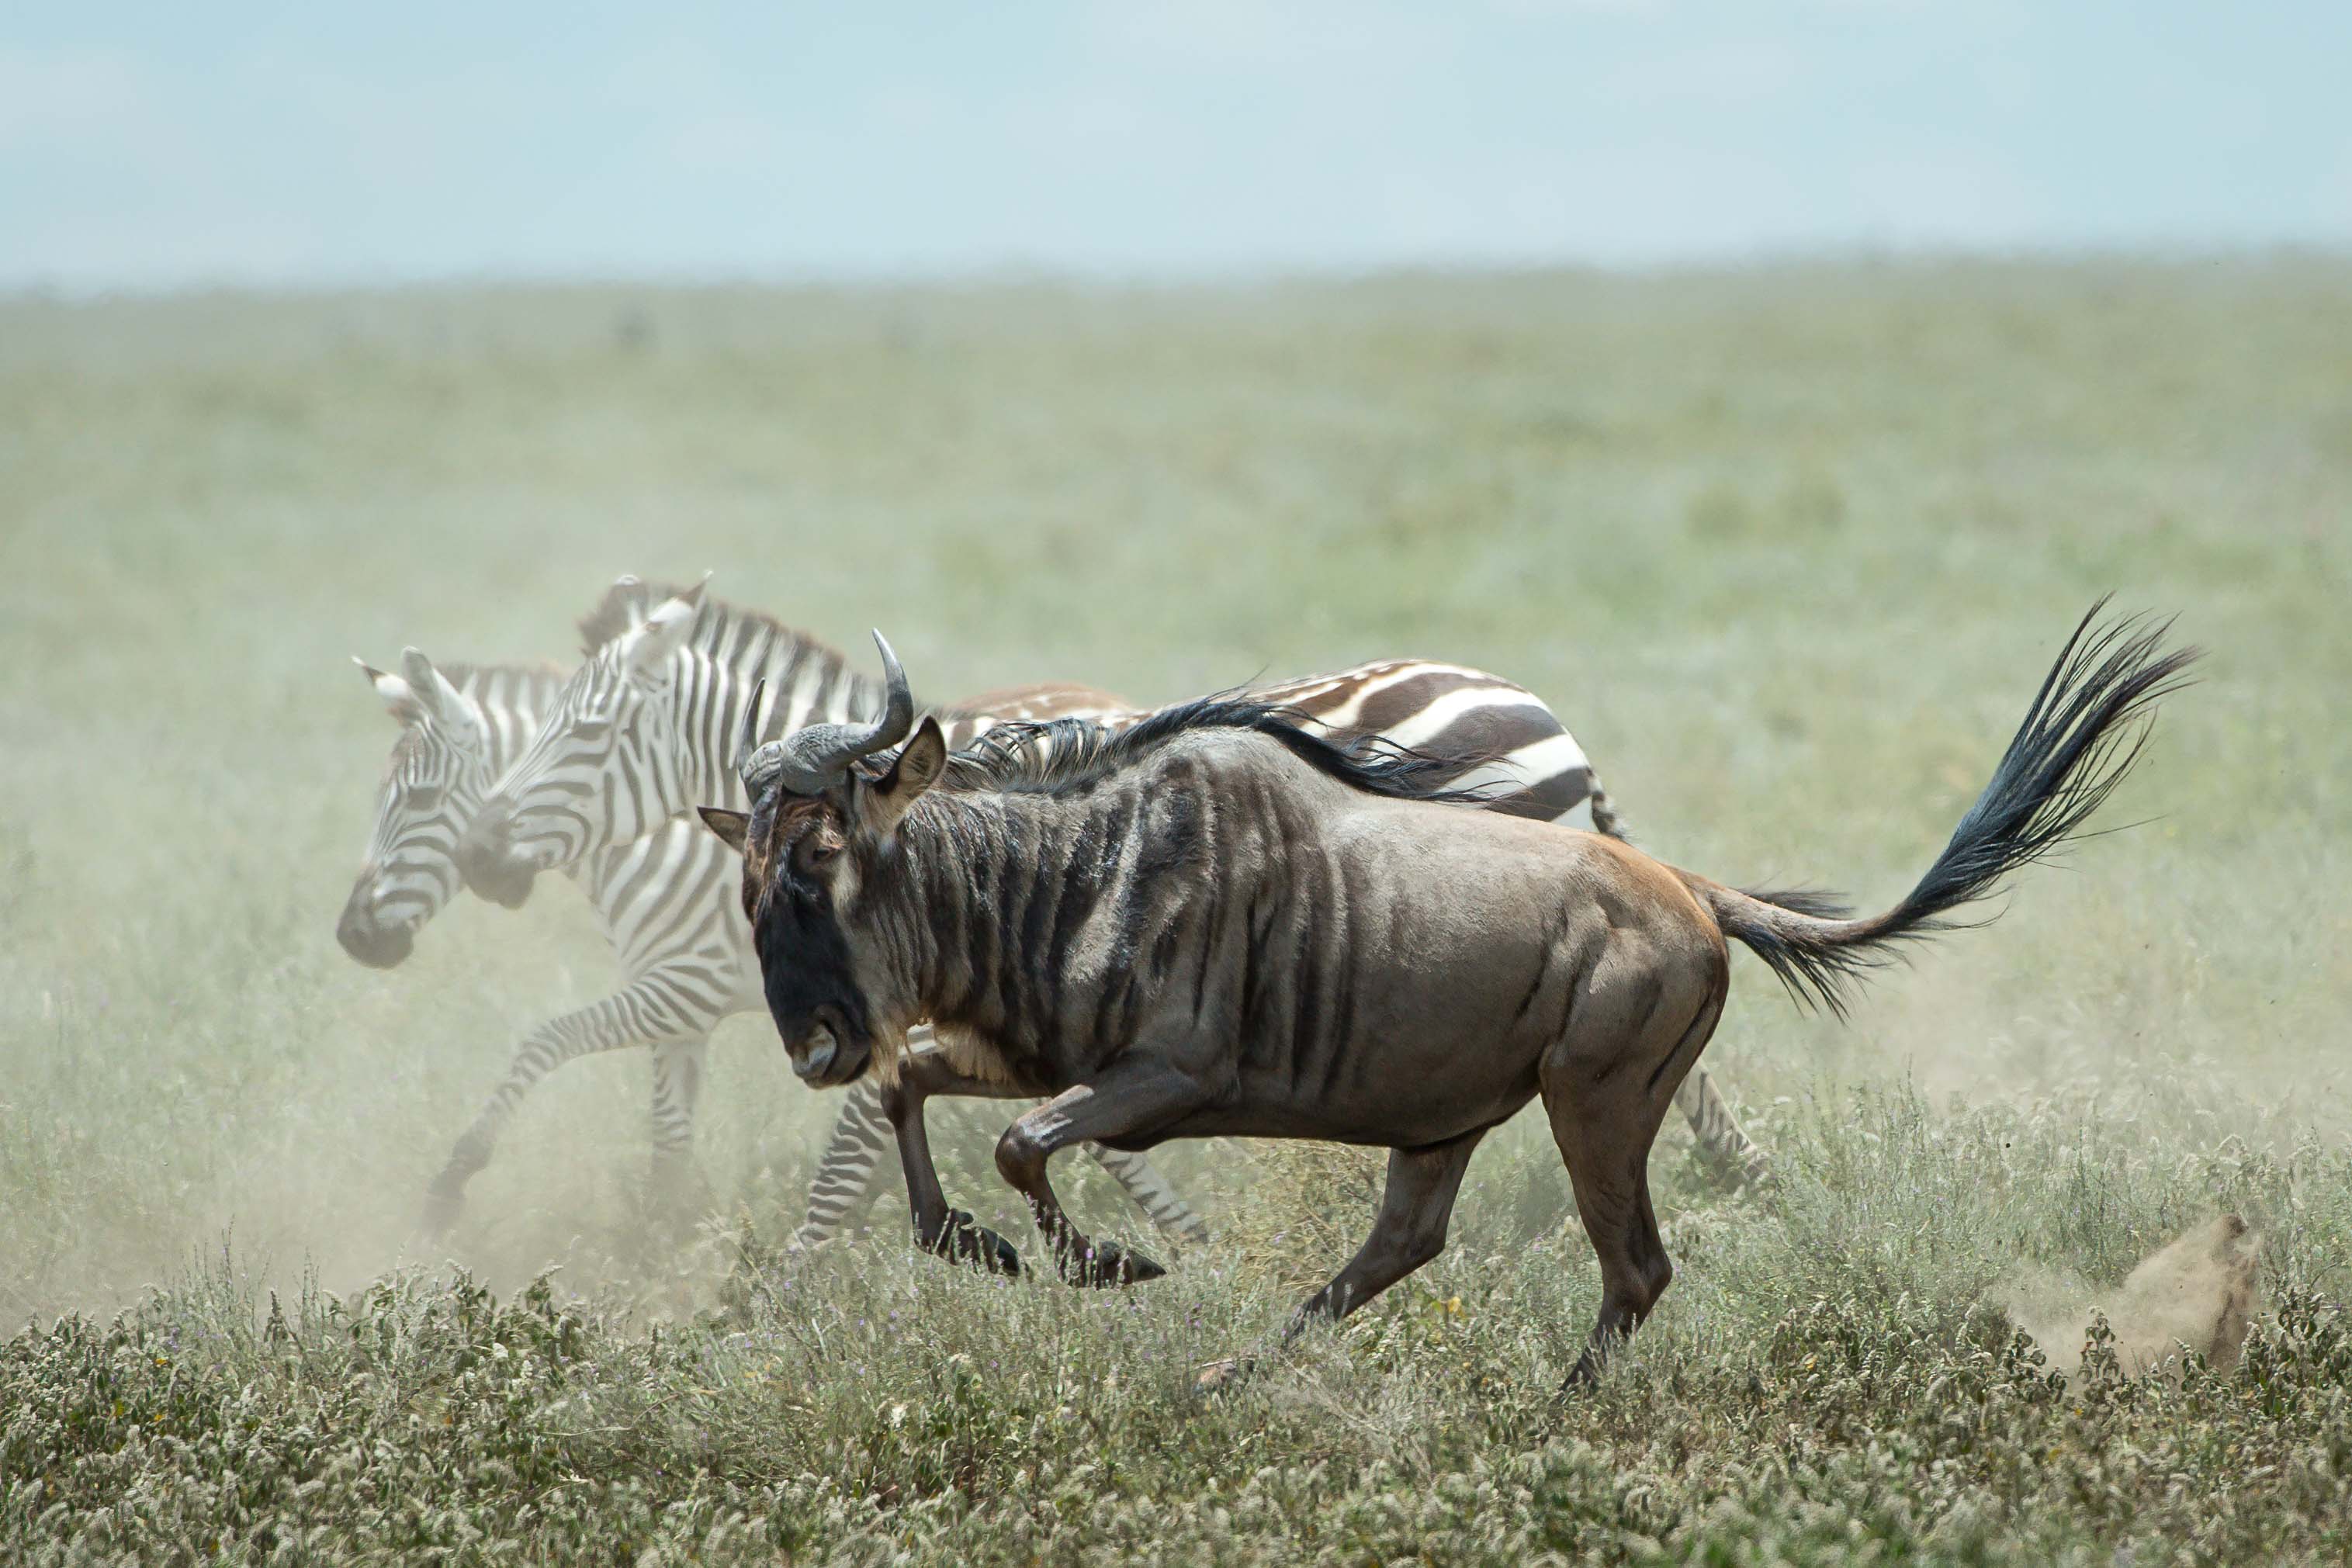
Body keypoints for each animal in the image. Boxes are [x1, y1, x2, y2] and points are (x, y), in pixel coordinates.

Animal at [343, 585, 1213, 1241]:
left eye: (421, 797)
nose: (353, 936)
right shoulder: (684, 1013)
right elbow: (668, 1136)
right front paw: (666, 1244)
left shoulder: (687, 987)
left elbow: (544, 1039)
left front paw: (452, 1181)